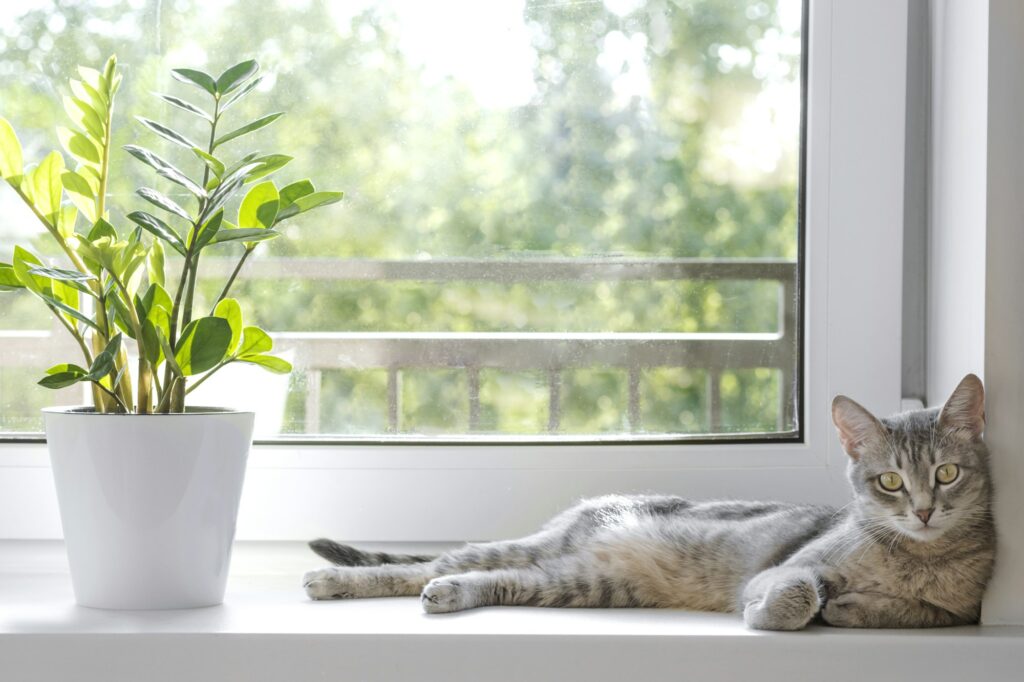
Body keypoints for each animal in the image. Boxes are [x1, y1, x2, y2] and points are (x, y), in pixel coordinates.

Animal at [301, 372, 991, 626]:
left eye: (947, 473)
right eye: (890, 482)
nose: (924, 511)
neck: (917, 559)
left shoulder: (957, 613)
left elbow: (907, 612)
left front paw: (849, 608)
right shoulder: (789, 567)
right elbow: (794, 593)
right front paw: (778, 611)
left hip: (577, 583)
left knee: (487, 579)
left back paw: (448, 596)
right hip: (535, 551)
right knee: (424, 564)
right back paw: (332, 581)